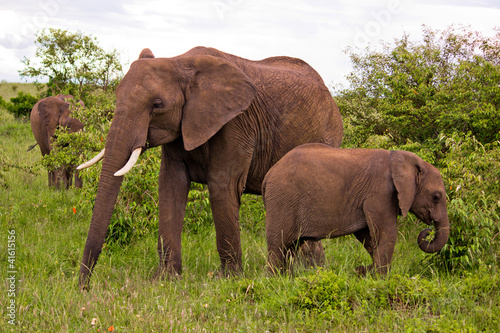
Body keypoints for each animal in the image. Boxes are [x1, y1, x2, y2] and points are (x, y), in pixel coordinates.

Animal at [78, 46, 344, 288]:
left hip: (326, 135)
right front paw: (164, 280)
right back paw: (312, 270)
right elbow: (170, 185)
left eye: (157, 105)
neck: (179, 61)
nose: (84, 287)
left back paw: (310, 271)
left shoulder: (236, 122)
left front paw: (228, 279)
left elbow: (221, 185)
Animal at [262, 143, 450, 274]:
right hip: (282, 201)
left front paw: (370, 272)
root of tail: (268, 176)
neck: (400, 159)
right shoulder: (380, 193)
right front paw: (381, 279)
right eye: (436, 197)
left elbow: (368, 236)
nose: (428, 231)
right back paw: (274, 280)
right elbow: (386, 232)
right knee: (278, 246)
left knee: (291, 247)